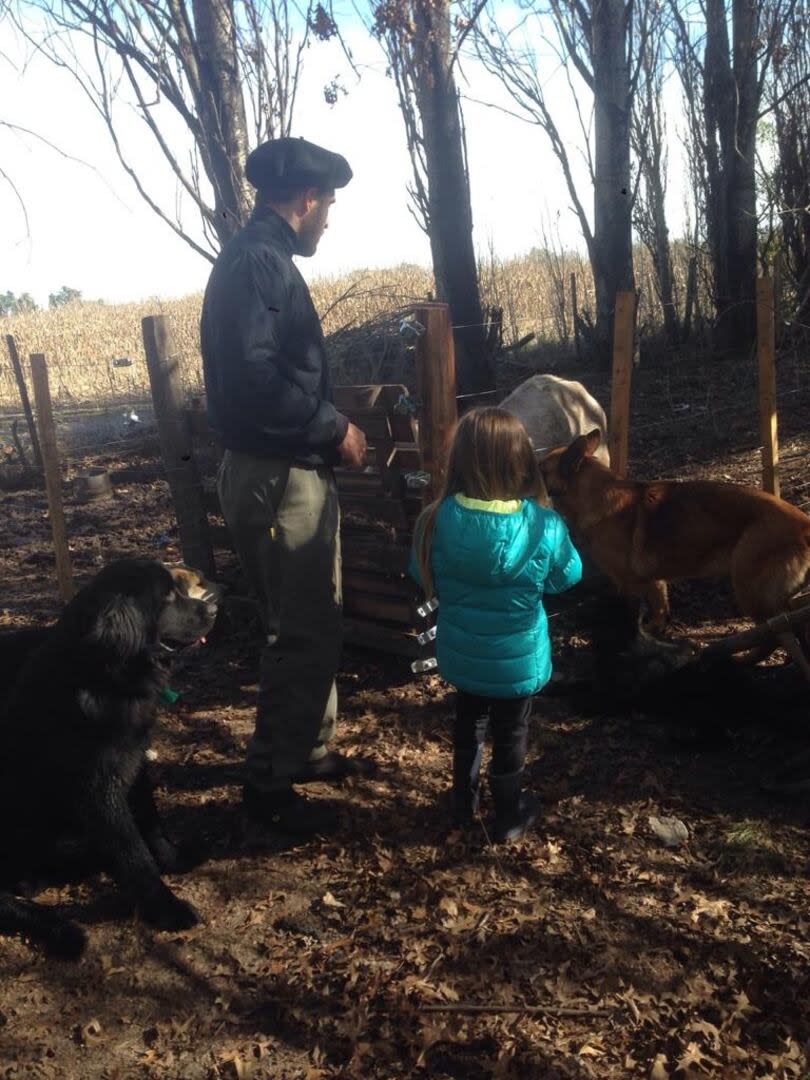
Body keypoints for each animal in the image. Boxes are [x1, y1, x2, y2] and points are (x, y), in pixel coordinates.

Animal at [0, 561, 219, 959]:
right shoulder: (97, 790)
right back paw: (63, 930)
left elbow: (151, 825)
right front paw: (167, 909)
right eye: (168, 597)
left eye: (179, 590)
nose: (213, 608)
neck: (105, 681)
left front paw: (174, 859)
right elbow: (134, 854)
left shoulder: (134, 765)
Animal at [542, 429, 810, 665]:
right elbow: (659, 612)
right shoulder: (657, 584)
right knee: (789, 625)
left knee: (779, 633)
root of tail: (803, 524)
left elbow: (639, 617)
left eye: (541, 468)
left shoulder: (635, 583)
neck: (595, 496)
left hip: (750, 592)